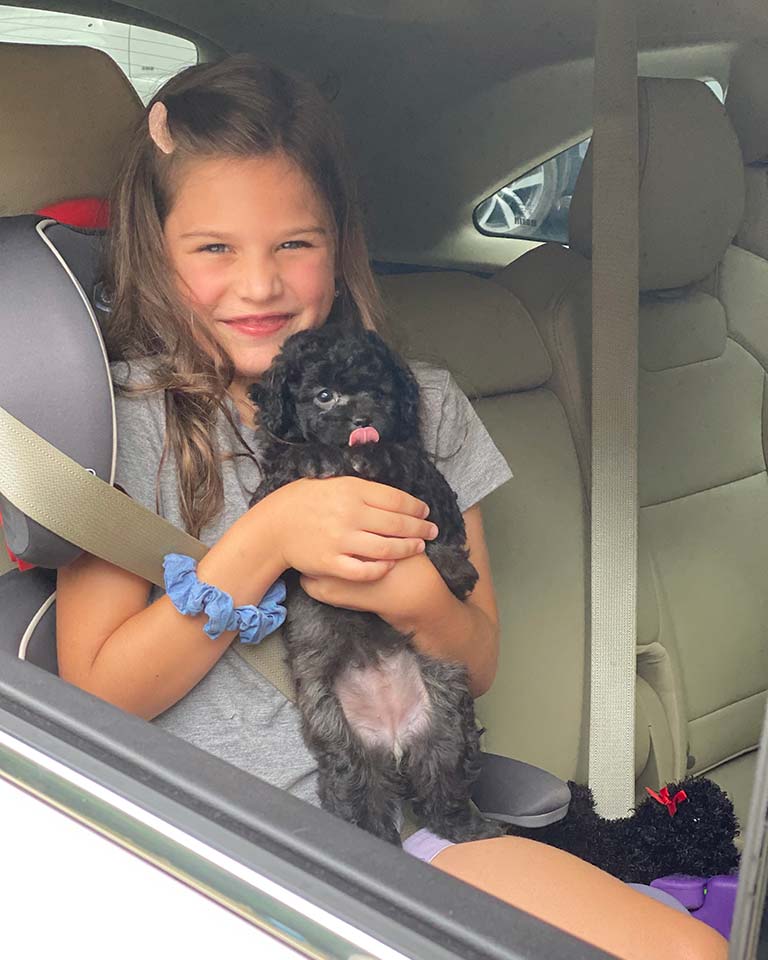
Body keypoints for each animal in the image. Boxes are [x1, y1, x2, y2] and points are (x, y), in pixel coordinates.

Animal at [248, 318, 504, 844]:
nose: (362, 419)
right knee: (359, 795)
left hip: (449, 724)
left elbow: (417, 480)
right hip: (339, 736)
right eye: (323, 395)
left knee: (444, 787)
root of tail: (394, 741)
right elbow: (284, 471)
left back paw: (472, 828)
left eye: (379, 392)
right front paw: (317, 458)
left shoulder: (427, 486)